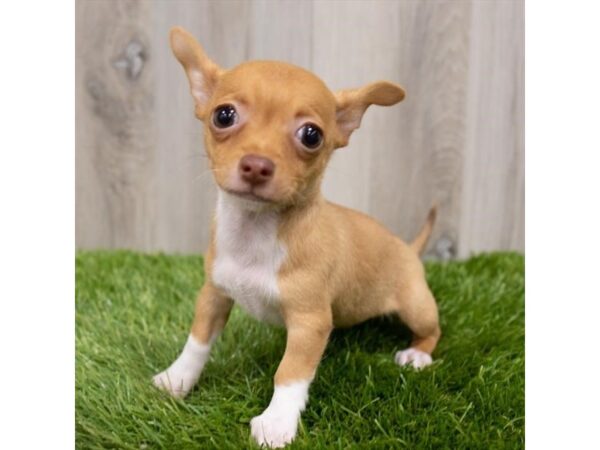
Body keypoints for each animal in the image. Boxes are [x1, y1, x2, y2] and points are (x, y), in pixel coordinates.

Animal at [152, 27, 438, 446]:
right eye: (224, 115)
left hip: (417, 306)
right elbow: (198, 341)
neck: (256, 232)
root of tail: (409, 248)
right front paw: (178, 378)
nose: (257, 165)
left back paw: (417, 355)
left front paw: (277, 421)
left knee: (432, 330)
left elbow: (290, 372)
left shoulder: (309, 323)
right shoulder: (213, 296)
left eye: (311, 135)